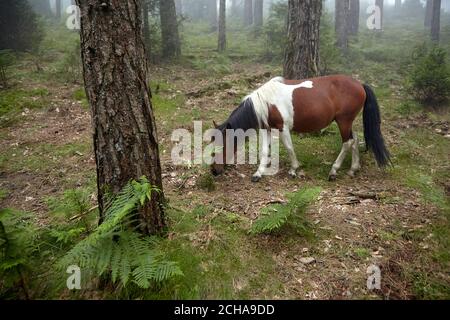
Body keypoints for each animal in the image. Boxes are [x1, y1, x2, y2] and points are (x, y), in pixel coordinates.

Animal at [211, 73, 390, 181]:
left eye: (222, 147)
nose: (214, 171)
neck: (266, 102)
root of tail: (360, 84)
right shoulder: (266, 129)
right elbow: (264, 150)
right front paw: (258, 173)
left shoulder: (282, 128)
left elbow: (289, 147)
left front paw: (293, 169)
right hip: (347, 122)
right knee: (355, 139)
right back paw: (353, 169)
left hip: (343, 121)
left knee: (347, 143)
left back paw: (334, 171)